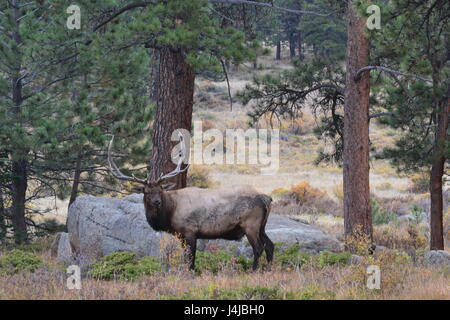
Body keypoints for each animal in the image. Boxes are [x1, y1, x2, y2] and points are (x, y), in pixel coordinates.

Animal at [108, 134, 274, 270]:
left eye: (160, 190)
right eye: (147, 192)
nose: (157, 202)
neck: (170, 213)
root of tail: (266, 198)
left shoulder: (190, 230)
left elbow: (190, 258)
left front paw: (190, 274)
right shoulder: (181, 235)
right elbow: (187, 258)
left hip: (251, 223)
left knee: (258, 247)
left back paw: (254, 270)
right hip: (262, 225)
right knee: (270, 245)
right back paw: (269, 269)